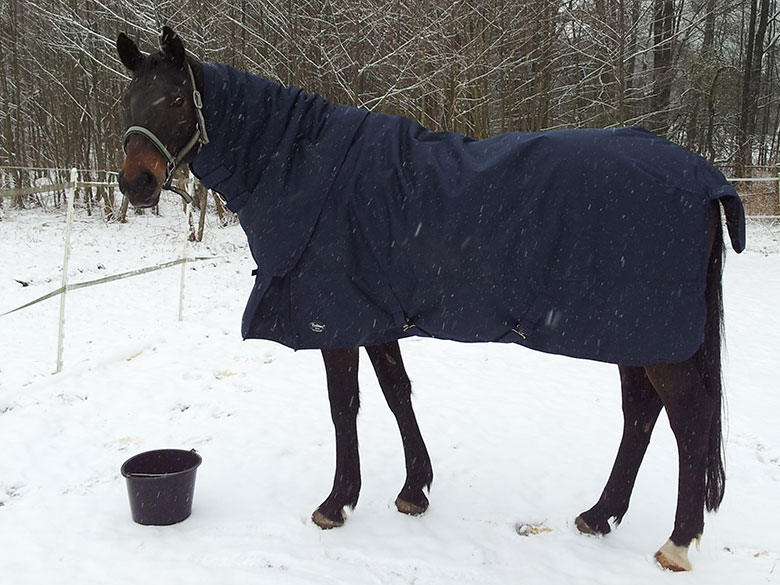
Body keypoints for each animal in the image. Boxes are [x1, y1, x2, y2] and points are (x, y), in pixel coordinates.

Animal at [114, 27, 744, 572]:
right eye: (129, 99)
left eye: (177, 98)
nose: (135, 183)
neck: (304, 168)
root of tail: (706, 176)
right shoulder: (375, 317)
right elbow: (398, 394)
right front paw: (414, 490)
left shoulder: (335, 321)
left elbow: (344, 405)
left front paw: (337, 503)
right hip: (631, 335)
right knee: (640, 416)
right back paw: (599, 515)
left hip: (653, 340)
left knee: (687, 423)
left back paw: (677, 542)